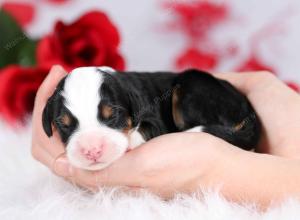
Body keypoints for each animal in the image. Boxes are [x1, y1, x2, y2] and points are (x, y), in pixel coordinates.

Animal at [42, 67, 260, 170]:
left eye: (113, 115)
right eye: (63, 124)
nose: (92, 150)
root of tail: (249, 112)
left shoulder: (156, 120)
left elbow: (145, 129)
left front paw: (130, 141)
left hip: (192, 85)